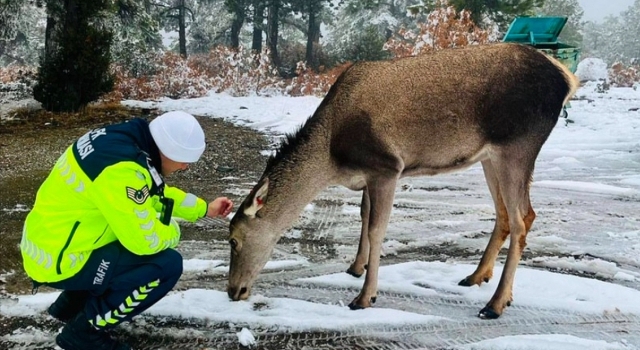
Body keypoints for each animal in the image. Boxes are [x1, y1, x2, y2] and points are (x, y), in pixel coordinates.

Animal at [226, 42, 580, 318]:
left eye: (234, 240)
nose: (233, 291)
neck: (331, 158)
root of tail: (567, 79)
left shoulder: (387, 166)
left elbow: (377, 229)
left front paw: (365, 297)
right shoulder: (368, 175)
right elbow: (363, 216)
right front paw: (356, 267)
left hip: (517, 145)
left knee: (523, 218)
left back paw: (495, 304)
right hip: (489, 157)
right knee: (506, 214)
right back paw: (476, 276)